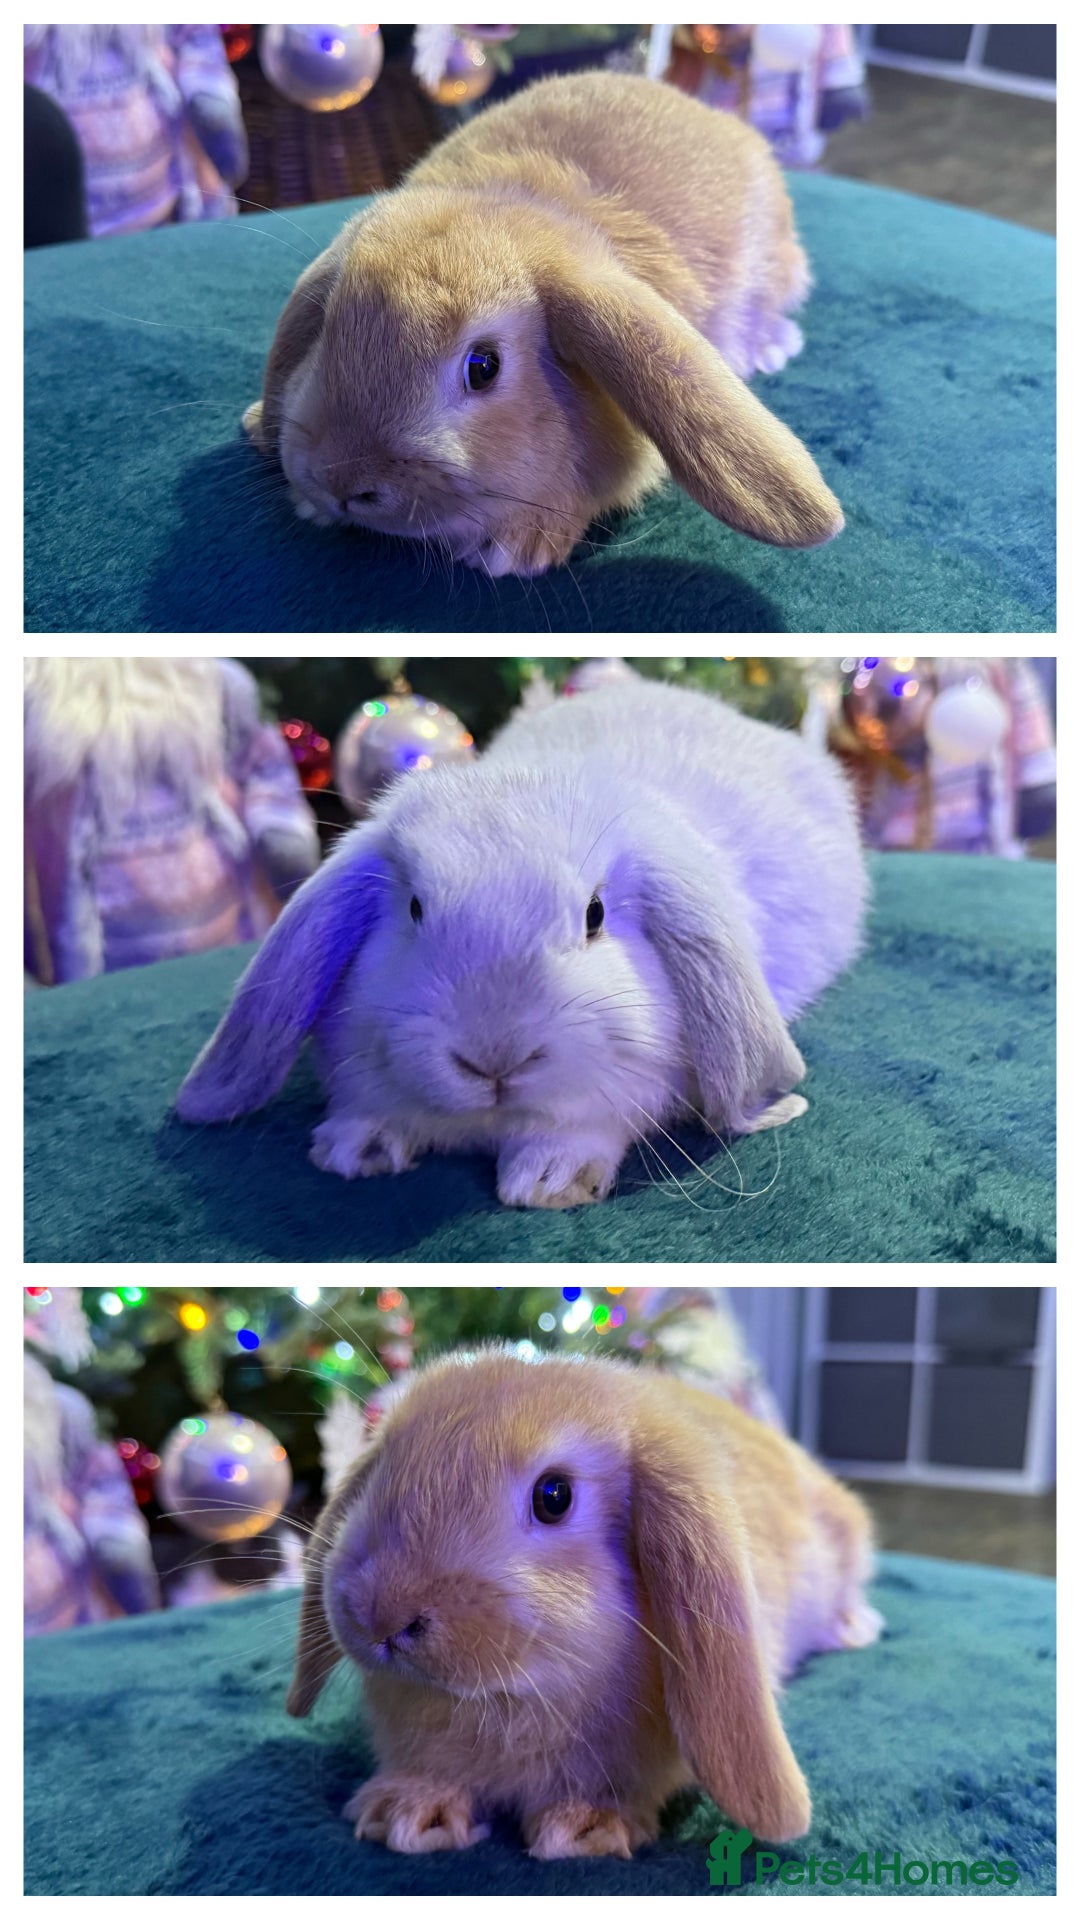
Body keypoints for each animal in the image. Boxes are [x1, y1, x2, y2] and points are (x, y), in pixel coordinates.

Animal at [176, 679, 868, 1209]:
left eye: (595, 916)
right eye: (414, 908)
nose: (495, 1060)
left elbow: (582, 1127)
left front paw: (549, 1181)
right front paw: (355, 1149)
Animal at [241, 69, 843, 578]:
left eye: (484, 366)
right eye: (325, 327)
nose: (341, 481)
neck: (515, 207)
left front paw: (515, 550)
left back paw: (771, 346)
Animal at [285, 1345, 883, 1858]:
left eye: (554, 1496)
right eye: (384, 1466)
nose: (381, 1615)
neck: (507, 1699)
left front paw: (585, 1829)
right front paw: (403, 1814)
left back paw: (854, 1627)